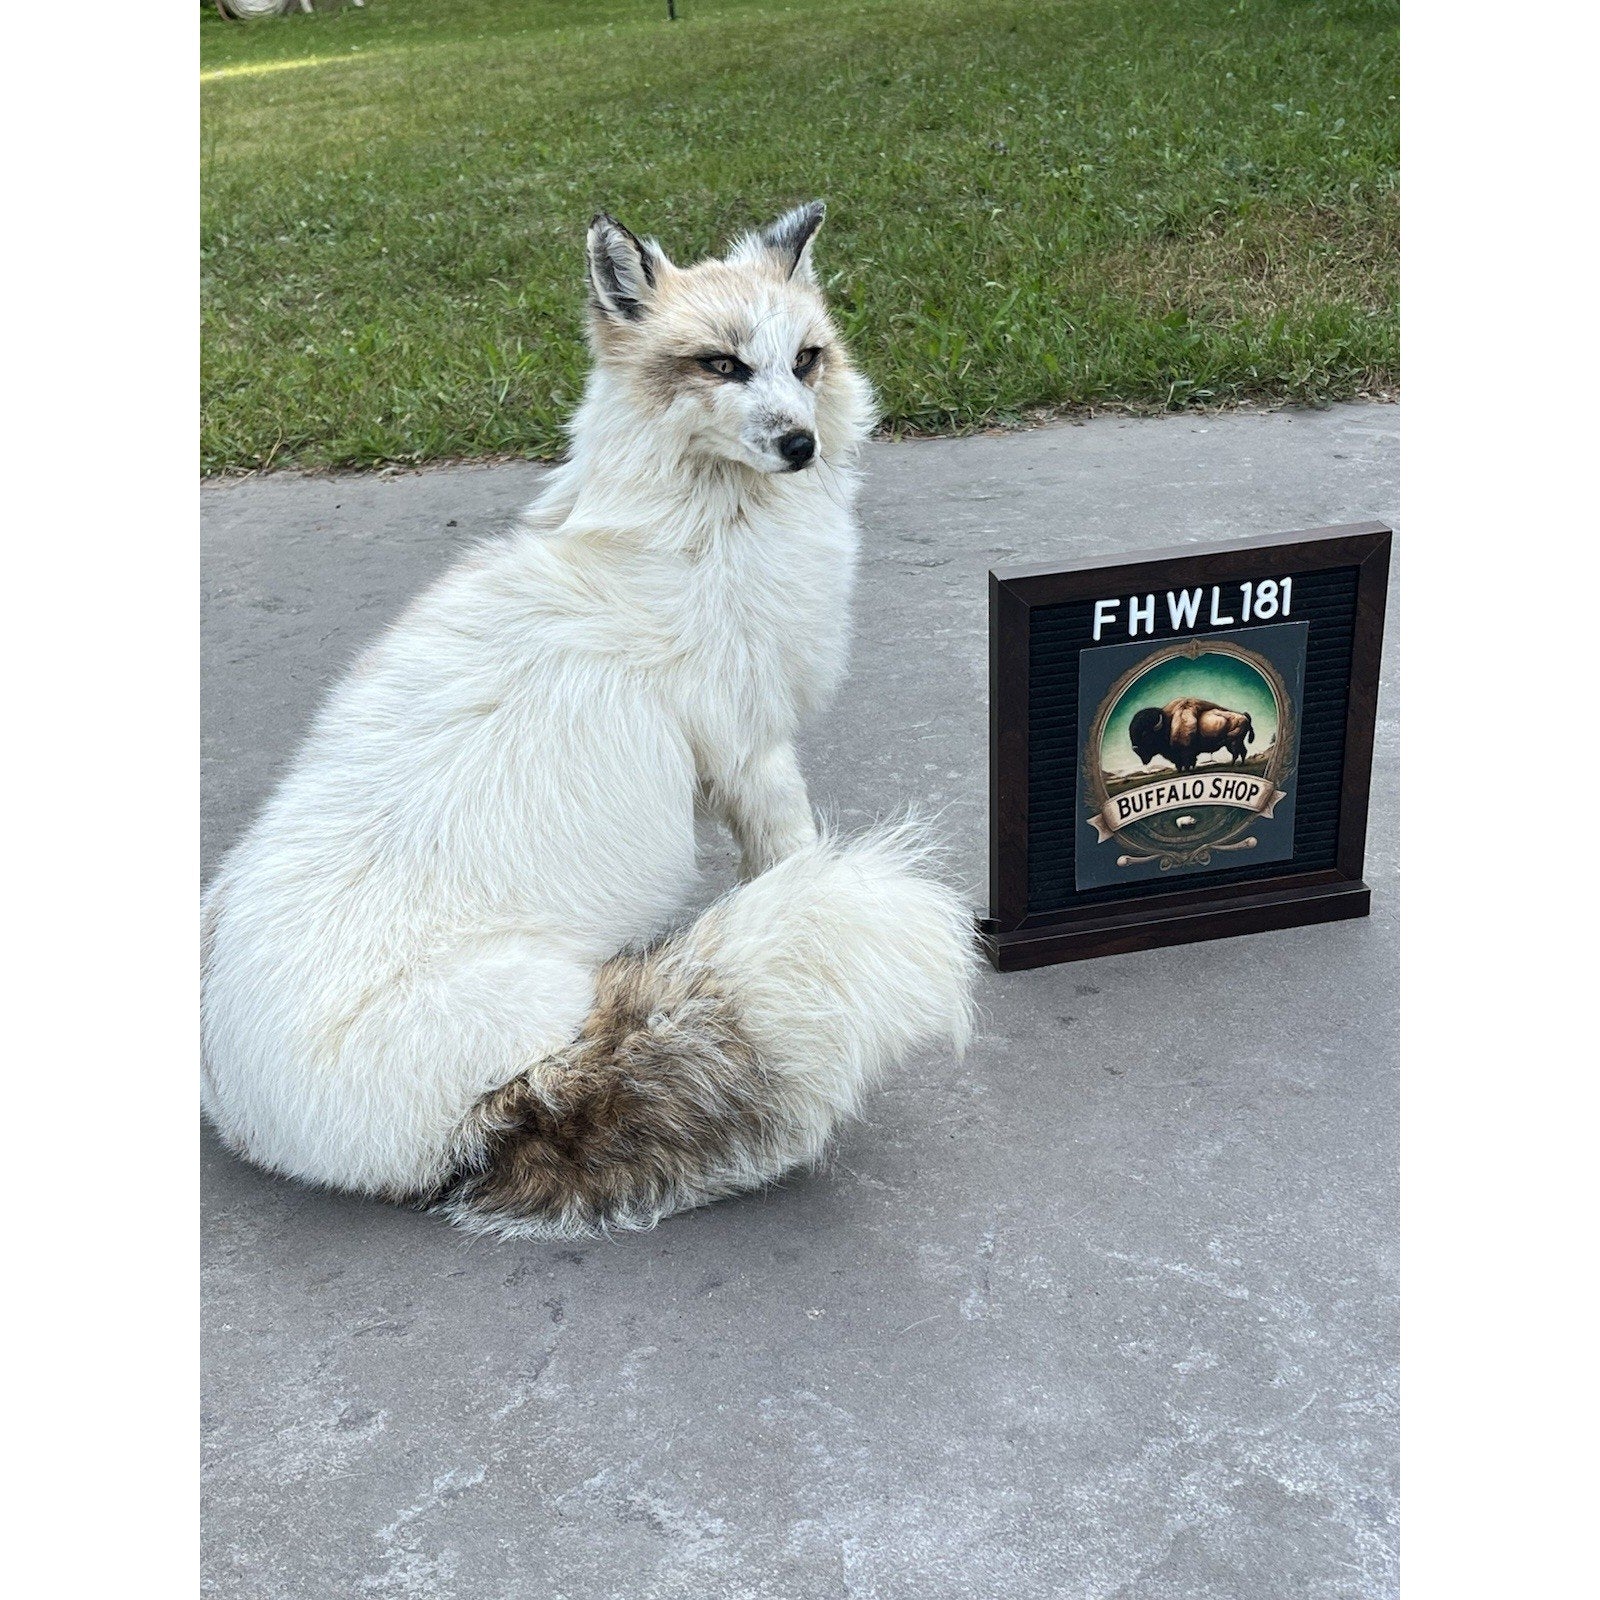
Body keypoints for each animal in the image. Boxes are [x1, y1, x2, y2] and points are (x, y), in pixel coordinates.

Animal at [201, 202, 979, 1240]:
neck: (707, 529)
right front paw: (811, 883)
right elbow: (794, 863)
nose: (801, 445)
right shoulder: (751, 748)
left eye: (807, 358)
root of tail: (256, 1112)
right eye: (721, 364)